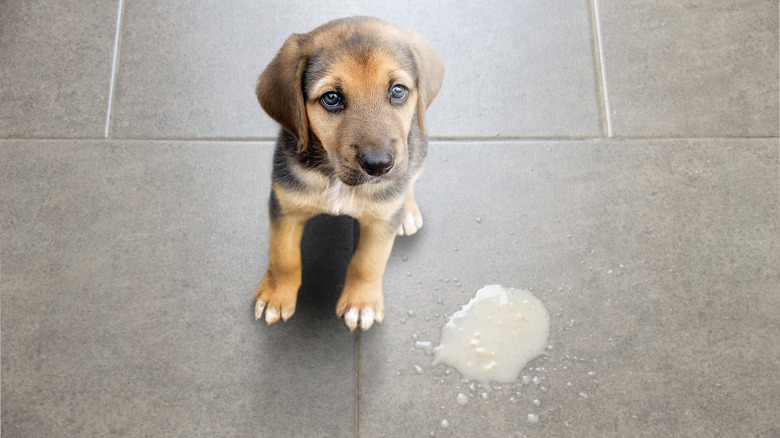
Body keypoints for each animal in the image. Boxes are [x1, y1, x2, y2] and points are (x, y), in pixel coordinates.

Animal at [253, 17, 442, 332]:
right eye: (331, 98)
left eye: (398, 91)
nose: (378, 165)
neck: (335, 178)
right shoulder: (284, 206)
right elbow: (283, 256)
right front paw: (276, 296)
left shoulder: (380, 223)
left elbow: (367, 263)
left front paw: (361, 303)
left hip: (418, 150)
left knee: (409, 180)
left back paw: (407, 212)